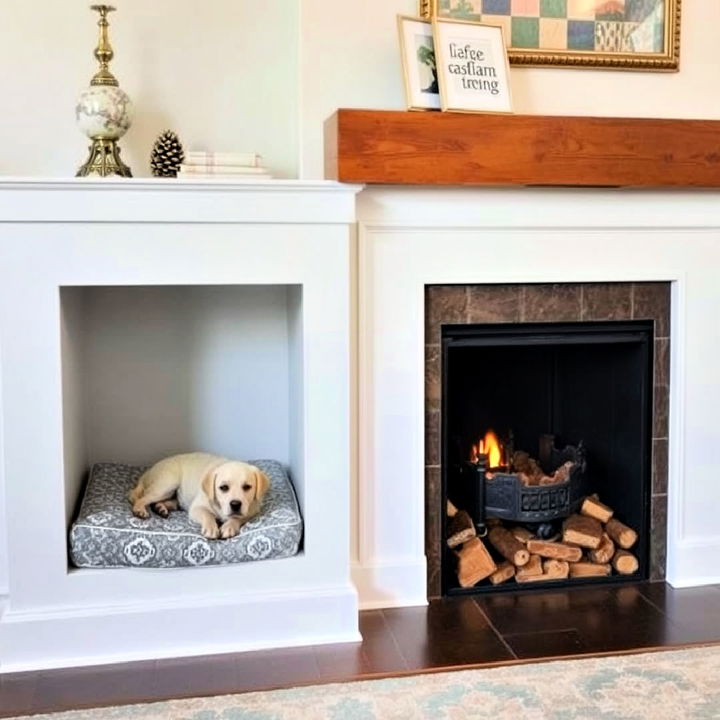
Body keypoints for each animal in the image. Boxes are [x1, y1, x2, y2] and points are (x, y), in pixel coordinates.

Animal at [128, 452, 268, 536]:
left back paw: (161, 508)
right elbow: (207, 515)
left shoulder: (252, 510)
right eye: (223, 488)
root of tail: (149, 471)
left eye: (247, 487)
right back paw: (140, 510)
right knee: (141, 498)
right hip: (167, 484)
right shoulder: (196, 508)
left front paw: (229, 526)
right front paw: (211, 528)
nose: (235, 504)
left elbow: (237, 518)